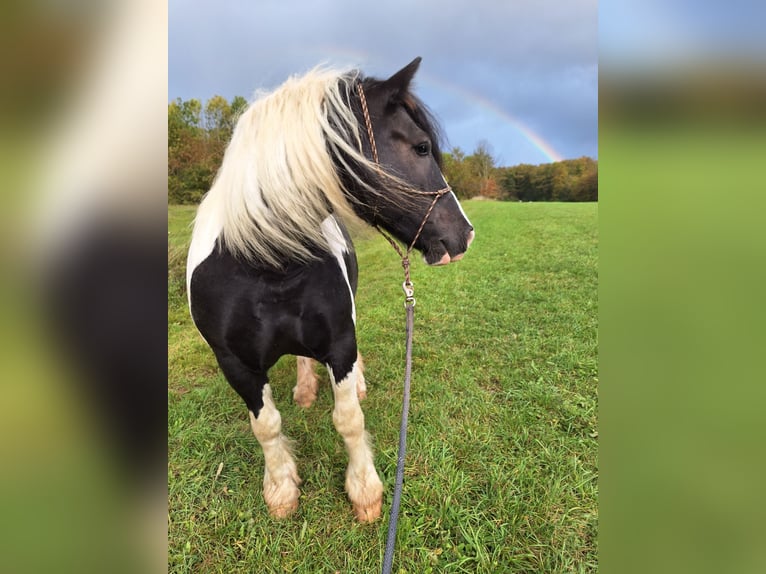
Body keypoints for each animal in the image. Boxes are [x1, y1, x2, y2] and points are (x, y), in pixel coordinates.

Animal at [186, 57, 474, 520]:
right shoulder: (236, 366)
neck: (268, 267)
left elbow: (349, 418)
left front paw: (365, 492)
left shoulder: (340, 343)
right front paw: (281, 489)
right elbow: (266, 427)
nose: (464, 234)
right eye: (421, 147)